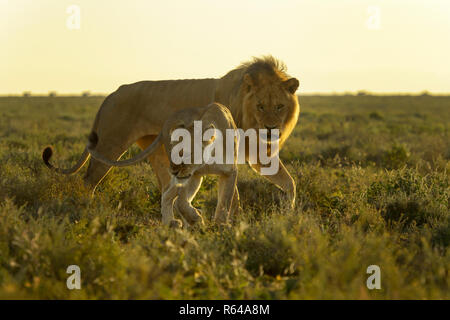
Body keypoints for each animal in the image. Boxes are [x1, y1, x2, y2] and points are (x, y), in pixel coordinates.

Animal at [44, 55, 300, 210]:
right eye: (260, 106)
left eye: (280, 106)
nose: (271, 129)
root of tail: (111, 94)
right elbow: (232, 194)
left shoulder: (258, 153)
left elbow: (289, 183)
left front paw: (287, 213)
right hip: (110, 144)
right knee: (89, 180)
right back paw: (86, 210)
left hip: (157, 152)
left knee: (167, 189)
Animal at [88, 102, 241, 228]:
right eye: (171, 153)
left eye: (187, 154)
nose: (173, 171)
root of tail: (167, 121)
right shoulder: (193, 175)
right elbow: (181, 202)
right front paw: (196, 219)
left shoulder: (229, 172)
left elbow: (224, 203)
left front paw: (220, 227)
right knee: (168, 193)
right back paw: (173, 223)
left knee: (169, 193)